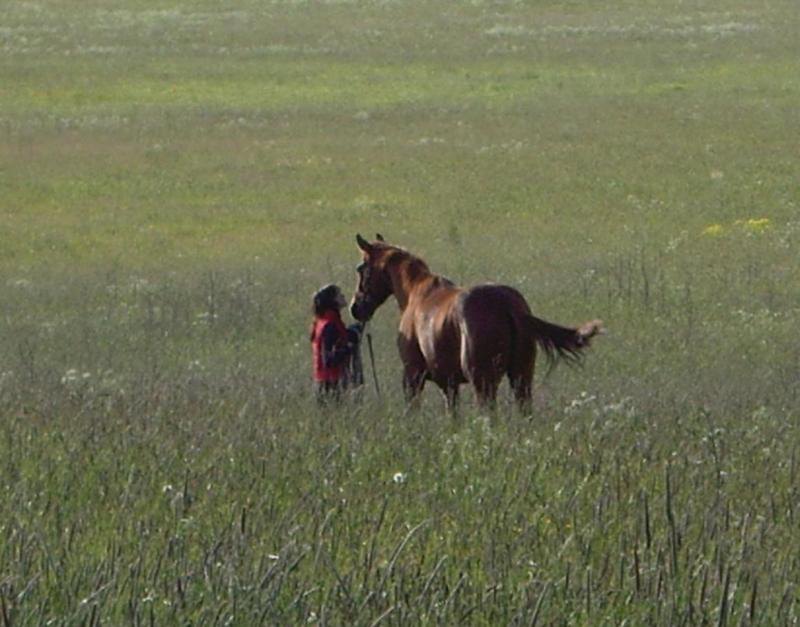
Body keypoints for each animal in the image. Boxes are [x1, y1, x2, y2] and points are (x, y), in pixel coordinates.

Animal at [346, 234, 604, 412]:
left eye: (360, 268)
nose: (355, 308)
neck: (416, 292)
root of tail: (506, 303)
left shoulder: (413, 376)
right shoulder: (450, 384)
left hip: (484, 383)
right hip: (521, 379)